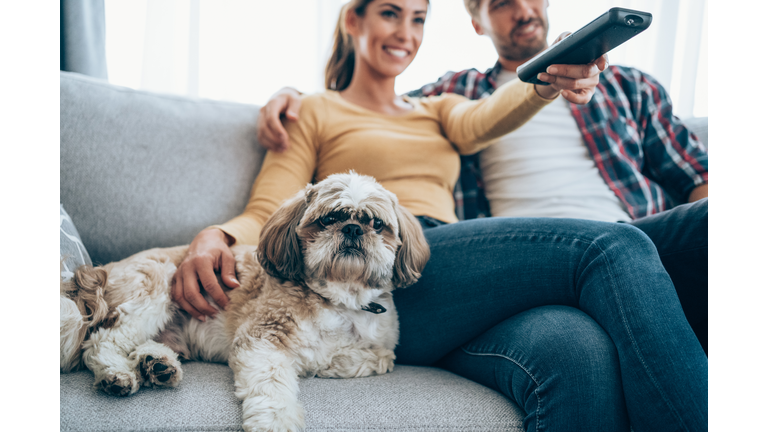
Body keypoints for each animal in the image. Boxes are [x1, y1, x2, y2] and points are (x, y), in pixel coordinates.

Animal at [64, 173, 432, 432]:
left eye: (377, 224)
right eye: (329, 219)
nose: (354, 229)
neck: (339, 299)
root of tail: (103, 270)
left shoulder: (381, 342)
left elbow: (382, 358)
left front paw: (330, 362)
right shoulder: (261, 339)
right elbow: (271, 389)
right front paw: (277, 422)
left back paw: (156, 365)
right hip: (155, 286)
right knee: (100, 342)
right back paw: (117, 374)